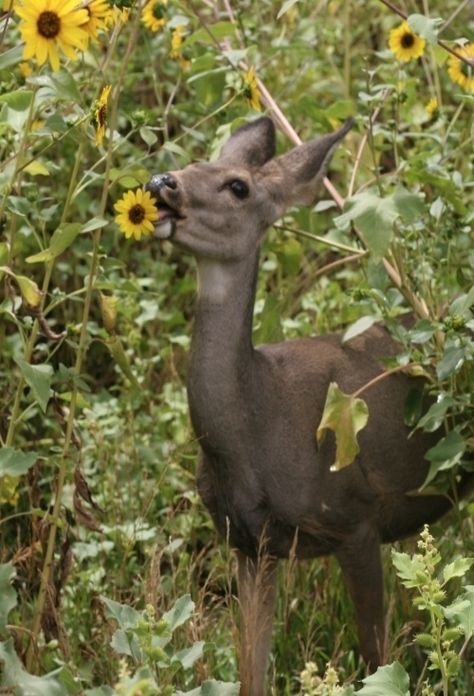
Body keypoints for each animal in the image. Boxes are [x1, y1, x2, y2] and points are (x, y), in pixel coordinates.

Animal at [144, 118, 466, 696]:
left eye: (238, 186)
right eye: (193, 161)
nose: (164, 181)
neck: (256, 426)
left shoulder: (355, 519)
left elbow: (376, 658)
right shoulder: (249, 545)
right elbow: (251, 673)